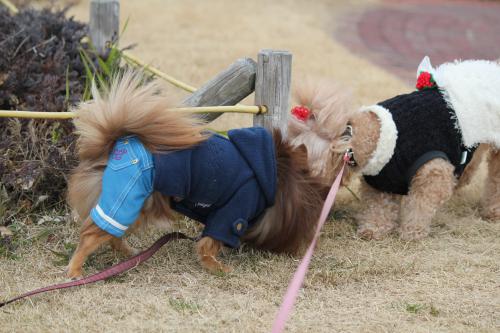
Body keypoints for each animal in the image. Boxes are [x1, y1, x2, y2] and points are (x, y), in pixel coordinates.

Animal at [66, 70, 326, 278]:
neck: (278, 173)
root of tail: (115, 144)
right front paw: (216, 267)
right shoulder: (233, 213)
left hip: (136, 206)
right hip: (127, 198)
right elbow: (209, 243)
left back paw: (129, 254)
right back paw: (75, 271)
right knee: (91, 235)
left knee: (111, 234)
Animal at [288, 58, 500, 240]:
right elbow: (378, 207)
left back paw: (493, 212)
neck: (377, 134)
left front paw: (412, 232)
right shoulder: (382, 181)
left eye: (303, 159)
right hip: (472, 145)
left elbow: (420, 204)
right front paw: (373, 229)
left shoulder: (432, 173)